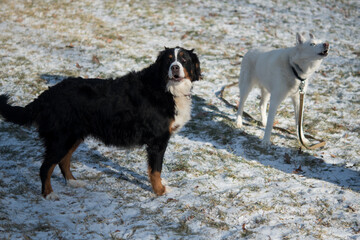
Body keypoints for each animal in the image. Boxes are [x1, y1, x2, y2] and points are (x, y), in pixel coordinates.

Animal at [0, 46, 202, 199]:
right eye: (169, 60)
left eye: (184, 59)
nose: (175, 68)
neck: (166, 89)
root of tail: (47, 94)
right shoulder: (157, 141)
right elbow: (155, 170)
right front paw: (160, 191)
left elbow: (156, 169)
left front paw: (161, 185)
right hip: (61, 139)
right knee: (46, 167)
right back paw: (49, 194)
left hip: (74, 136)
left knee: (63, 161)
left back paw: (73, 182)